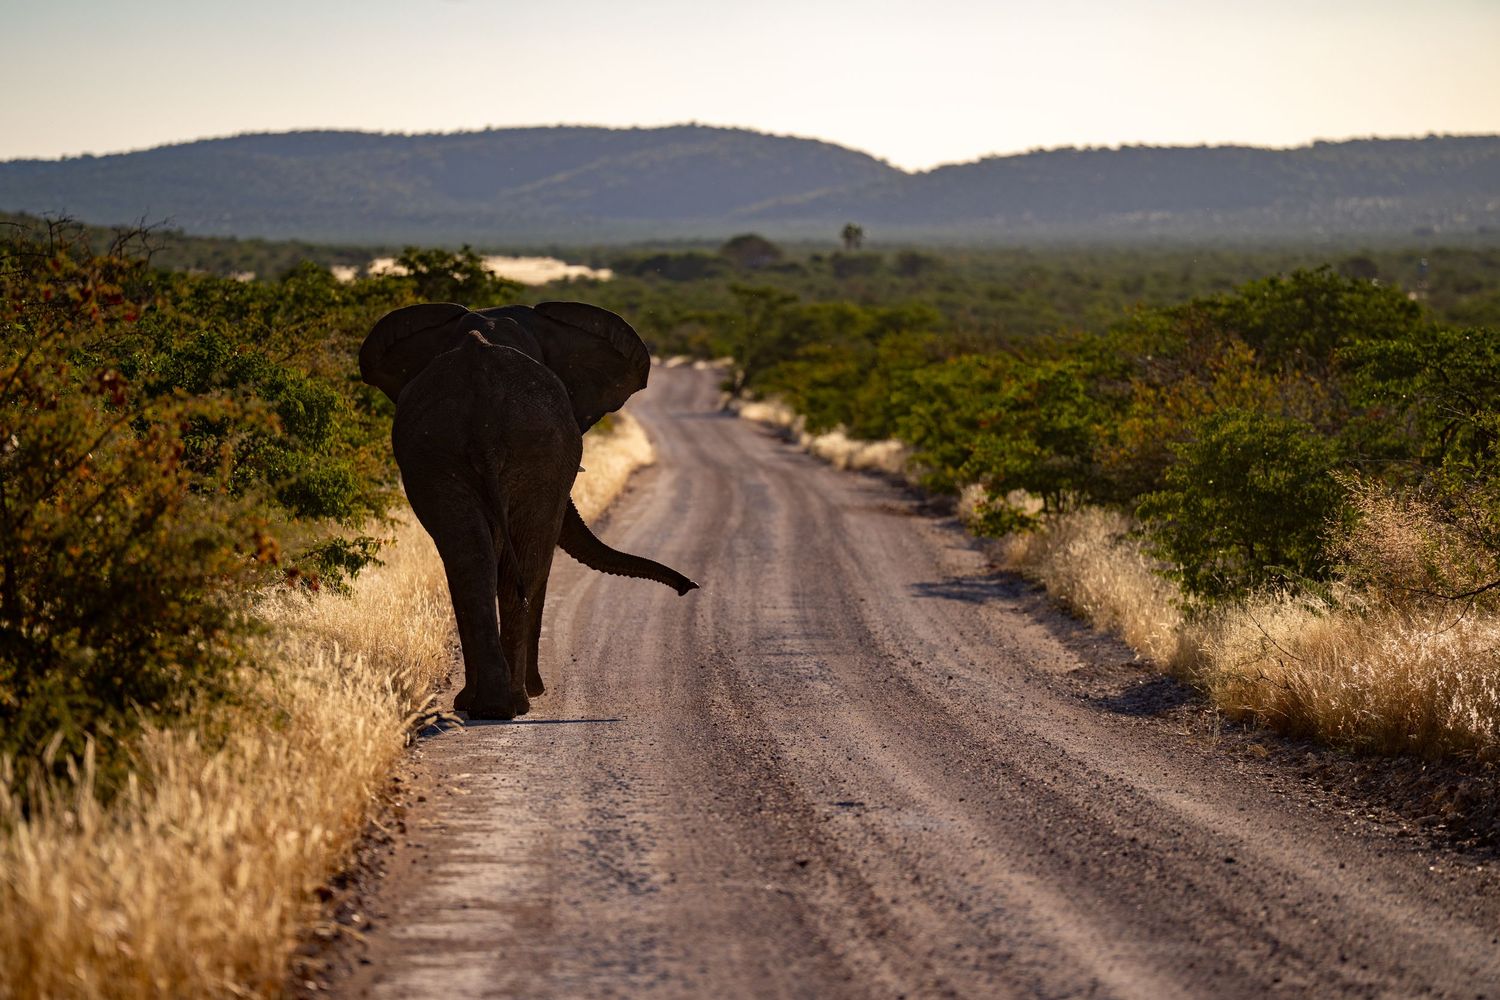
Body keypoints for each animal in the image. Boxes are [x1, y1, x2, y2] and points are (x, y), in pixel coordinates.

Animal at [359, 301, 698, 720]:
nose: (687, 587)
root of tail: (482, 402)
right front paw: (532, 693)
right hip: (529, 449)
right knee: (519, 564)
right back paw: (512, 702)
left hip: (438, 450)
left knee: (470, 562)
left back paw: (488, 705)